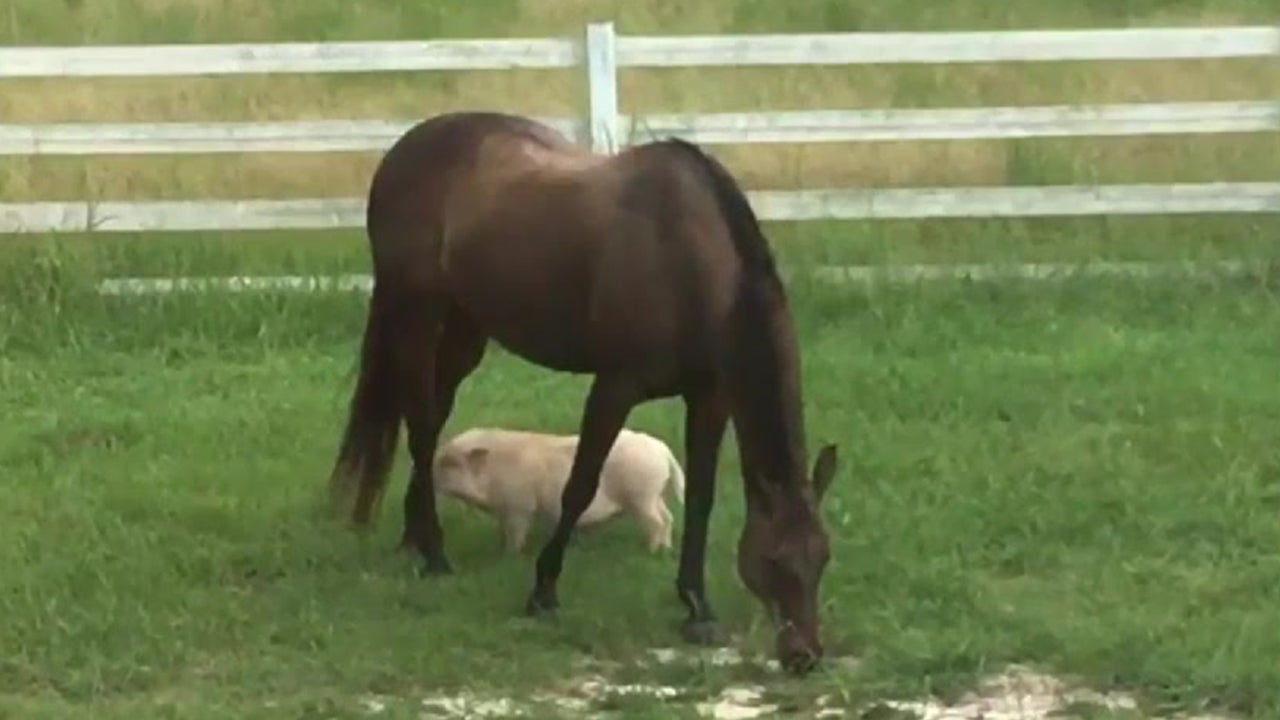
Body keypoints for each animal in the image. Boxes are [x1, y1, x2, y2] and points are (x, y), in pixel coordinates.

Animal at [432, 427, 686, 554]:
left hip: (641, 495)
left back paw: (650, 551)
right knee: (668, 518)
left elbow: (516, 534)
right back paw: (665, 549)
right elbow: (502, 532)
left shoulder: (519, 507)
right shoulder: (505, 510)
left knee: (656, 522)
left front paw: (510, 556)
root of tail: (662, 450)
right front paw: (500, 548)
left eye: (450, 463)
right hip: (655, 494)